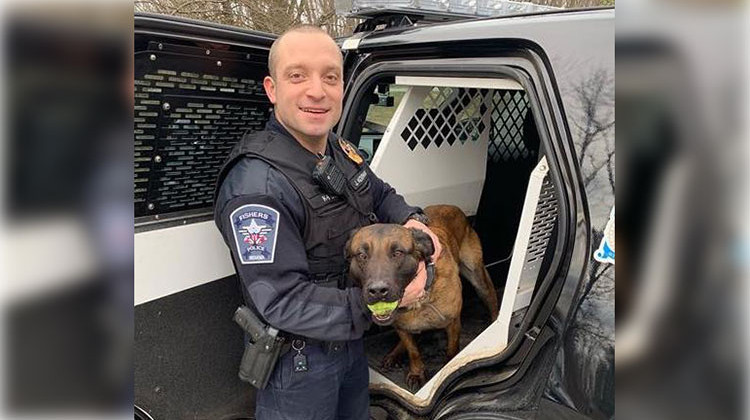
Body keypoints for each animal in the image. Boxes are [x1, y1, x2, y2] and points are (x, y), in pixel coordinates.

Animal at [346, 205, 500, 388]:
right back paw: (394, 354)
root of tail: (451, 207)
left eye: (398, 253)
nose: (377, 290)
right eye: (362, 255)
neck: (419, 300)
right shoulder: (402, 328)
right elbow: (413, 351)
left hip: (477, 276)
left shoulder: (453, 322)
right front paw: (417, 372)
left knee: (490, 298)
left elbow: (452, 351)